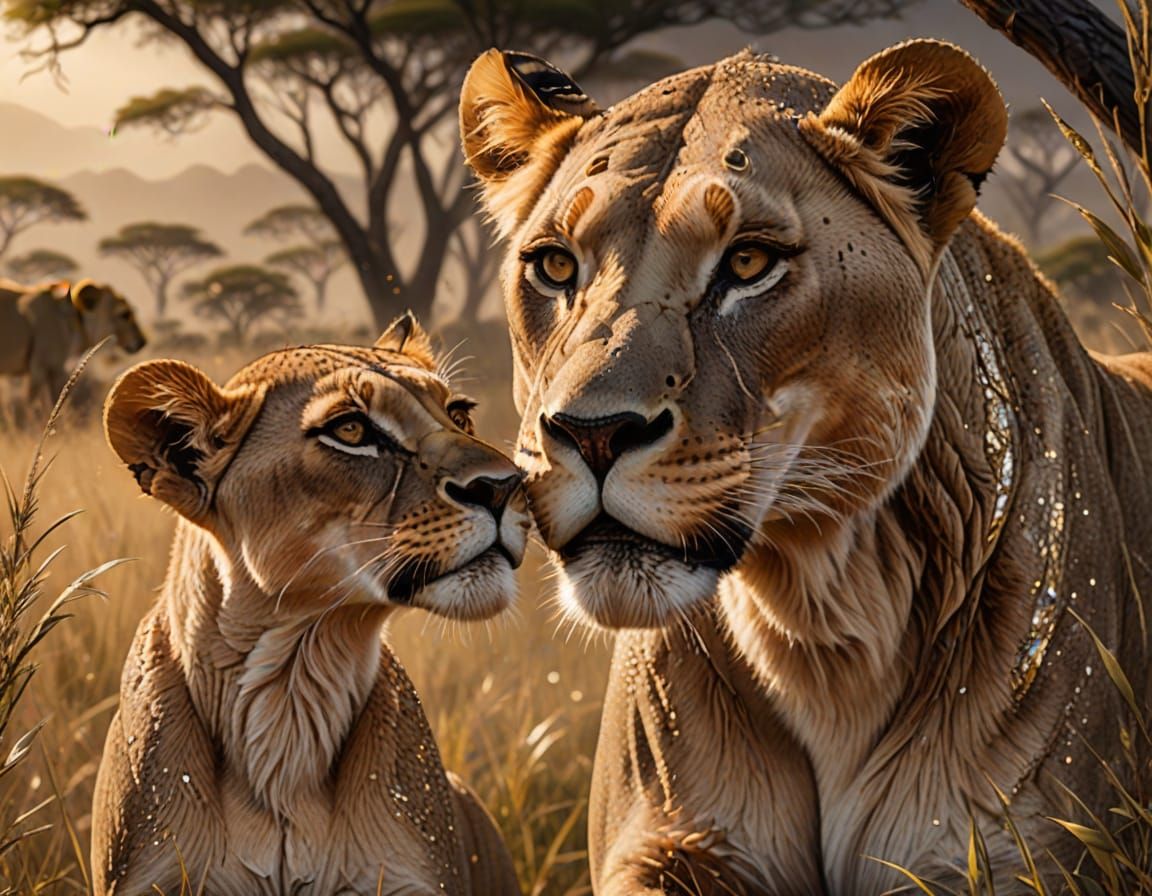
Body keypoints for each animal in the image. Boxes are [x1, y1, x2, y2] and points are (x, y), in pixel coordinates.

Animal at [0, 277, 145, 408]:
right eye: (125, 314)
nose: (142, 341)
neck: (71, 321)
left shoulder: (49, 373)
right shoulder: (41, 369)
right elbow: (33, 408)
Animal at [459, 41, 1152, 893]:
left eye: (749, 261)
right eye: (555, 267)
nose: (591, 433)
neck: (819, 626)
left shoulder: (1016, 853)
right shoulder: (669, 842)